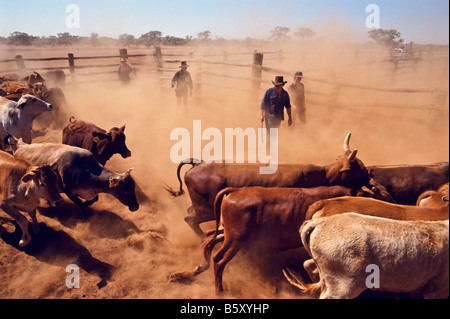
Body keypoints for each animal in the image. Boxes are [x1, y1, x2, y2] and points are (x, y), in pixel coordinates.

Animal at [167, 133, 374, 240]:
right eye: (360, 170)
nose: (371, 176)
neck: (321, 173)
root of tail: (198, 163)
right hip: (206, 211)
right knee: (190, 218)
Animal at [193, 185, 394, 296]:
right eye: (378, 195)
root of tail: (236, 190)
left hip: (229, 234)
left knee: (209, 239)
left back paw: (197, 269)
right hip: (235, 239)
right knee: (219, 259)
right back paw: (219, 290)